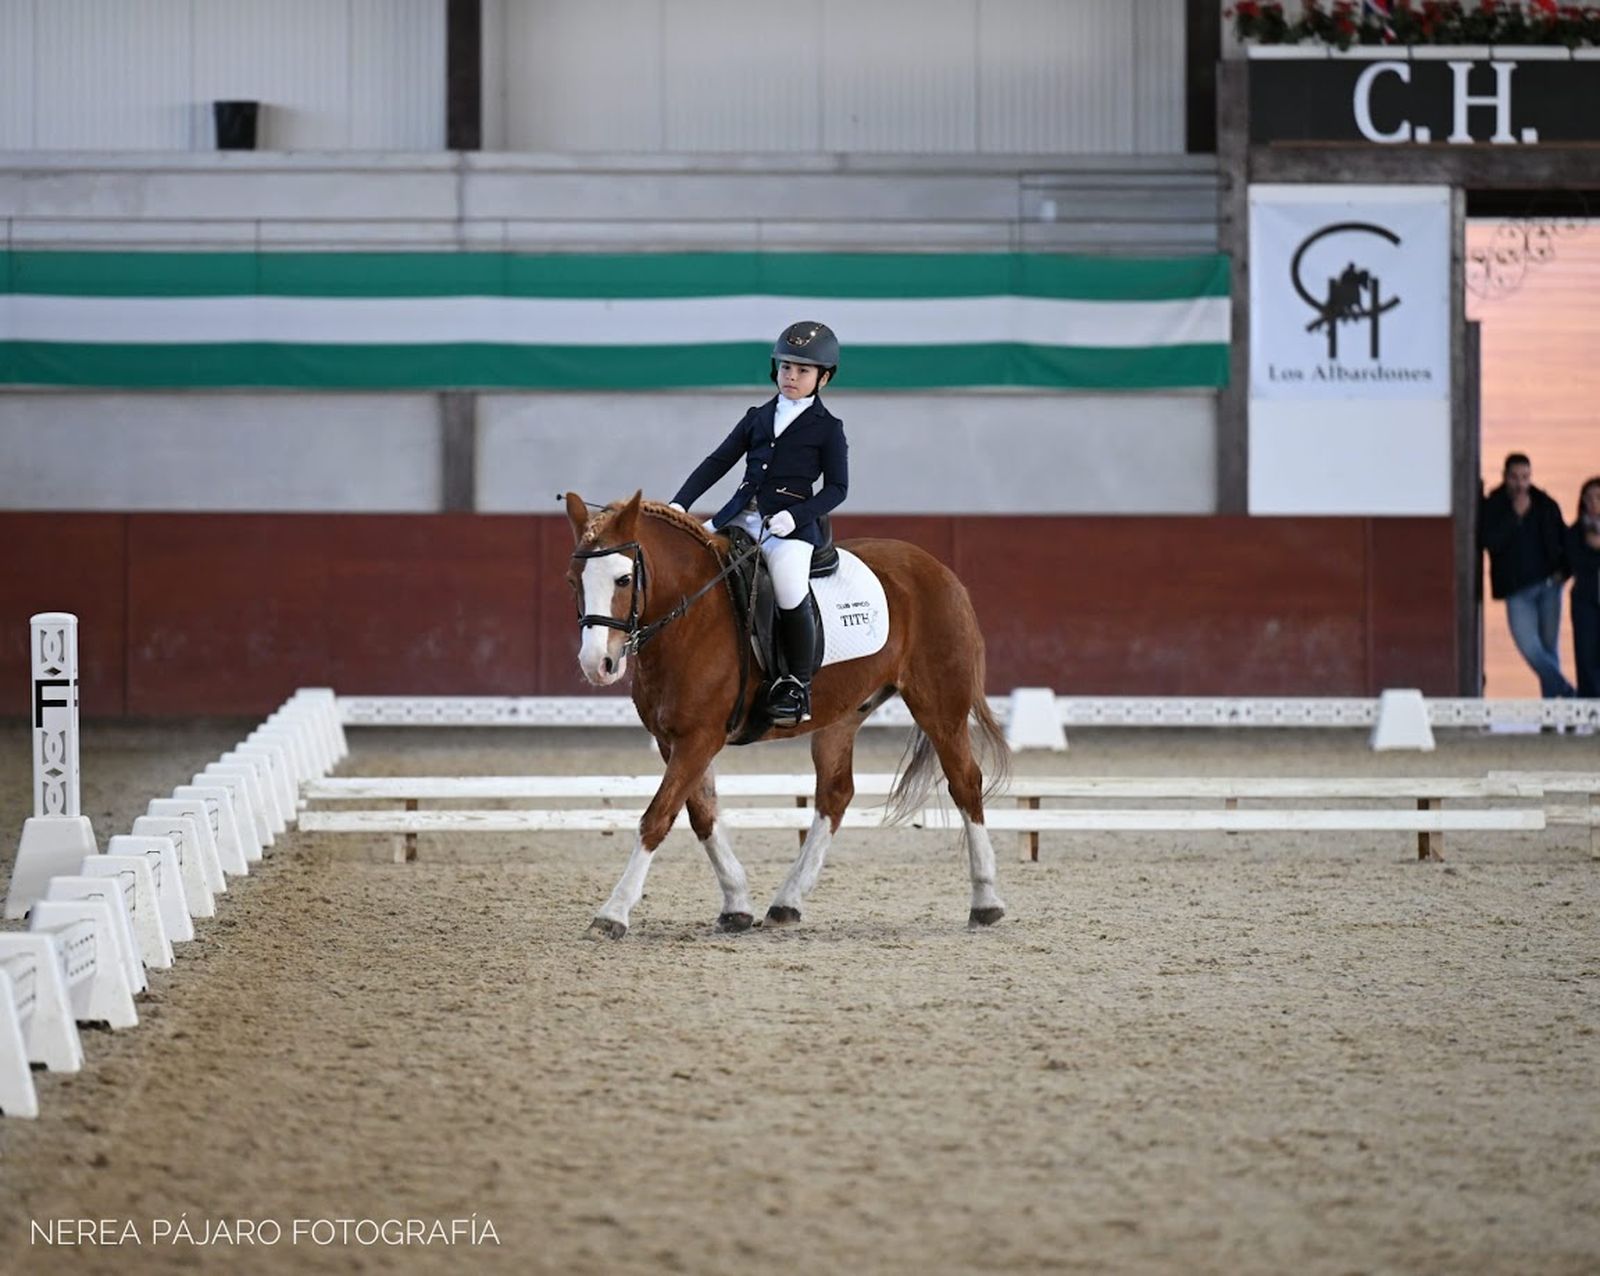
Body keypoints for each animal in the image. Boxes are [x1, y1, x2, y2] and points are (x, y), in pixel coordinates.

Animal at [564, 490, 1009, 939]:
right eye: (573, 580)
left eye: (623, 579)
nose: (596, 664)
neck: (690, 616)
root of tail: (938, 569)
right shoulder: (672, 741)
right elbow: (701, 814)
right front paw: (736, 904)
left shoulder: (700, 738)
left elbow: (658, 816)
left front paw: (612, 913)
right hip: (842, 716)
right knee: (835, 794)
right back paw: (786, 901)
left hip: (939, 705)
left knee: (965, 782)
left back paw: (986, 901)